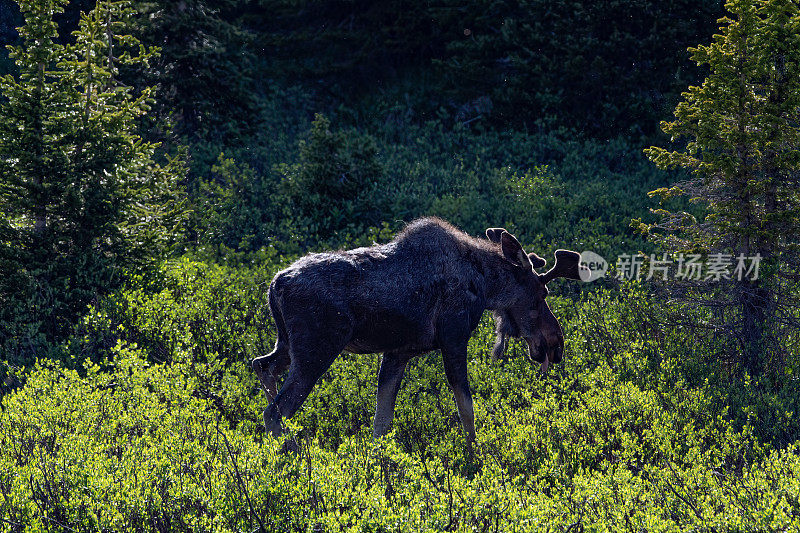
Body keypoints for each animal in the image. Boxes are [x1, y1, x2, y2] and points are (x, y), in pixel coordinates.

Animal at [253, 216, 584, 444]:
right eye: (541, 294)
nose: (557, 343)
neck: (486, 286)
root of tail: (275, 284)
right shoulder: (454, 338)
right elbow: (466, 409)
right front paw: (475, 458)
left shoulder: (398, 353)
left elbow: (381, 422)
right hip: (317, 349)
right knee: (275, 411)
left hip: (287, 345)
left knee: (261, 366)